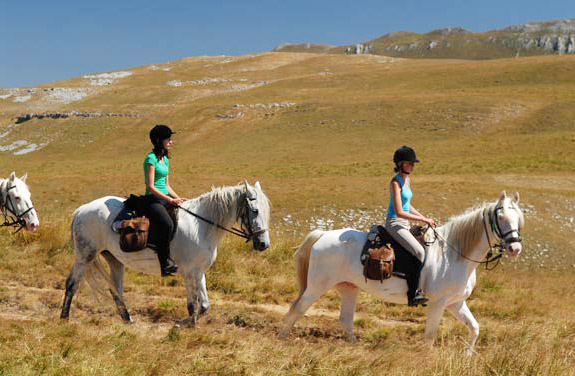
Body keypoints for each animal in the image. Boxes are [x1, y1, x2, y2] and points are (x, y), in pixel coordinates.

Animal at [59, 181, 272, 324]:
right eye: (254, 210)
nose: (263, 244)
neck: (201, 225)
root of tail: (80, 210)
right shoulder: (189, 272)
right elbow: (192, 305)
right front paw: (190, 324)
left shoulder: (198, 270)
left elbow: (204, 305)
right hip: (85, 255)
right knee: (72, 283)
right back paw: (64, 317)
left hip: (113, 258)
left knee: (115, 289)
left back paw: (127, 319)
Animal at [282, 191, 524, 352]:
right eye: (500, 217)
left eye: (519, 218)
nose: (515, 248)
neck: (453, 254)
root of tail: (323, 234)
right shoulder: (438, 304)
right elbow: (430, 336)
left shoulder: (455, 303)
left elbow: (474, 328)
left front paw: (468, 355)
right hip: (317, 286)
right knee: (297, 308)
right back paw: (281, 338)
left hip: (349, 288)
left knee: (345, 319)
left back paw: (355, 346)